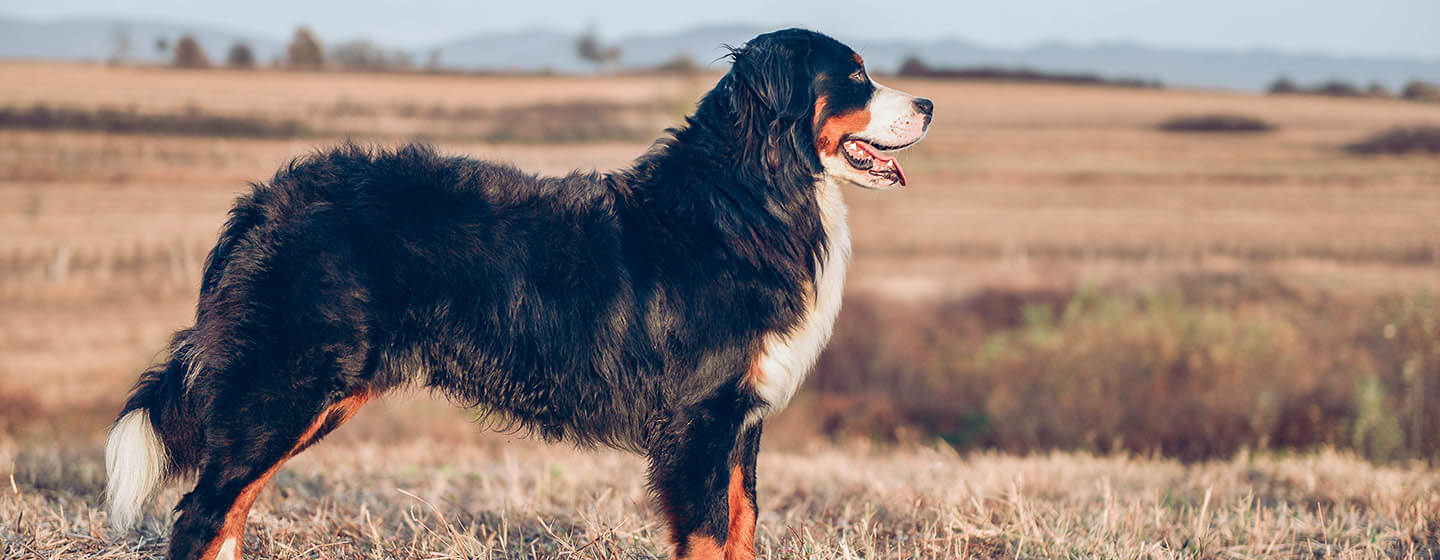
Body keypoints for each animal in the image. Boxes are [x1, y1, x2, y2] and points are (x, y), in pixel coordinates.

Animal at [104, 27, 933, 558]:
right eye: (854, 76)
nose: (930, 106)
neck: (749, 194)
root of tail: (265, 201)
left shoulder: (739, 422)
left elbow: (742, 525)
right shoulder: (700, 421)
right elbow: (708, 536)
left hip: (312, 395)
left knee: (226, 511)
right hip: (287, 383)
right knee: (201, 513)